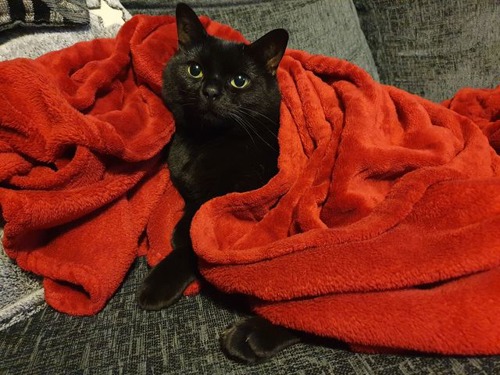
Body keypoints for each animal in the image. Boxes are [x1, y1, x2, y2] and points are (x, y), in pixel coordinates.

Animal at [138, 2, 296, 362]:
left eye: (239, 81)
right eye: (195, 70)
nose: (210, 92)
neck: (205, 142)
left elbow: (194, 243)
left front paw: (158, 283)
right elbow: (192, 210)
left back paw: (249, 337)